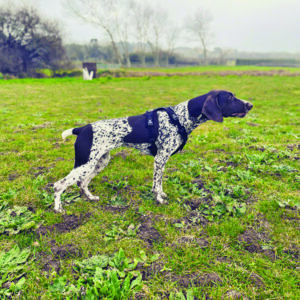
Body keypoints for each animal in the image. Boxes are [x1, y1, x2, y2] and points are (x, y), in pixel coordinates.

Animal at [53, 90, 251, 212]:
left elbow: (160, 184)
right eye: (230, 98)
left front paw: (161, 195)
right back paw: (58, 209)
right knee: (58, 185)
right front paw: (159, 200)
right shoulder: (160, 159)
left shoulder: (161, 160)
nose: (250, 105)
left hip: (99, 162)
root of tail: (82, 129)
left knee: (82, 183)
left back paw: (91, 198)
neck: (180, 118)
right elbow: (157, 184)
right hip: (85, 164)